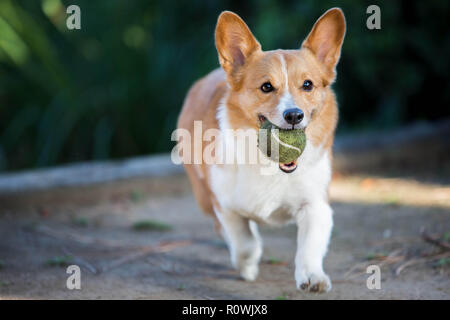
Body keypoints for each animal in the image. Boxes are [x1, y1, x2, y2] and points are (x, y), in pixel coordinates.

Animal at [178, 8, 346, 292]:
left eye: (308, 85)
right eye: (267, 86)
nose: (294, 115)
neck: (271, 166)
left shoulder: (316, 205)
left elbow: (309, 246)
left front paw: (312, 276)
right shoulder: (225, 207)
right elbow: (245, 243)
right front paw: (248, 267)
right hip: (203, 197)